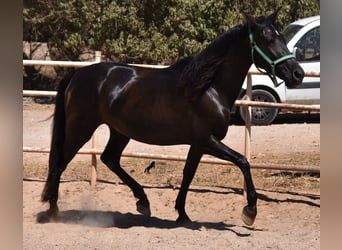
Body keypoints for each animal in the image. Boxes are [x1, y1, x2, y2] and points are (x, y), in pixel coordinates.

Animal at [41, 8, 304, 226]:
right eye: (267, 39)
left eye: (282, 37)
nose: (297, 74)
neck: (207, 88)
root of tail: (78, 74)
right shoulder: (207, 140)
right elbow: (243, 161)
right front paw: (250, 211)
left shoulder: (198, 144)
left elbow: (188, 174)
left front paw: (183, 214)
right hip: (81, 129)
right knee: (60, 162)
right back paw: (53, 211)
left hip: (120, 131)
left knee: (110, 159)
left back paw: (143, 201)